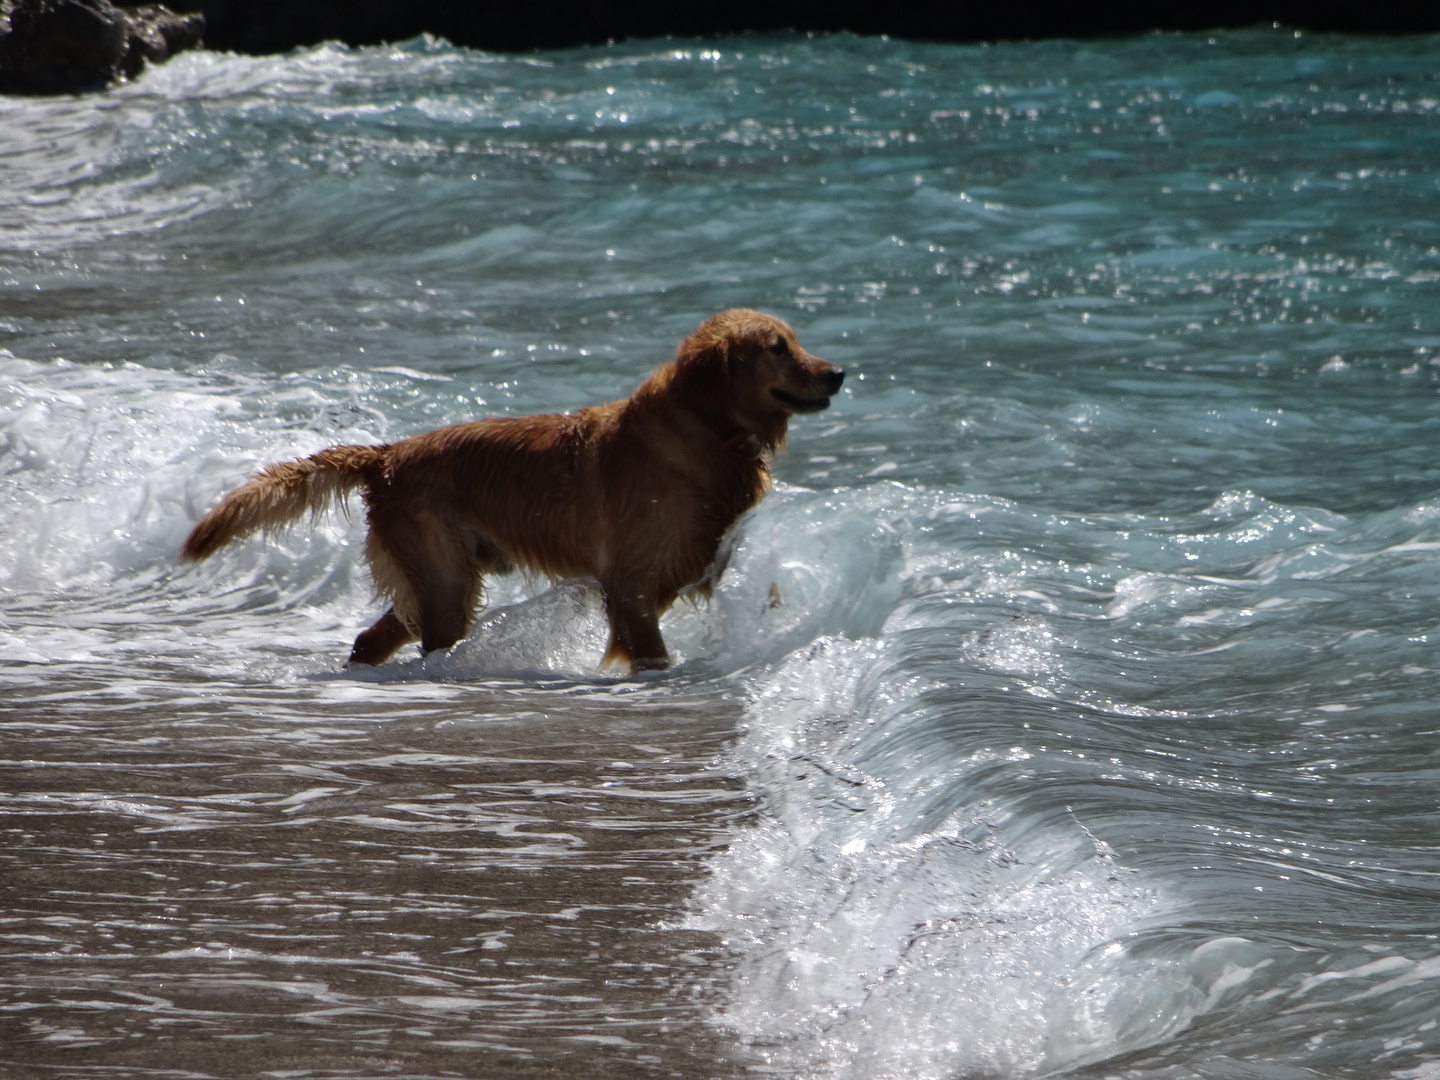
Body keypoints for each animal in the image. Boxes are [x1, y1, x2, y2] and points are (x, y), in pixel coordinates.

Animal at [180, 308, 840, 673]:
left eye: (796, 340)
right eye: (777, 348)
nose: (839, 372)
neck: (706, 433)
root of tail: (388, 454)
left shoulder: (712, 555)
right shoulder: (632, 585)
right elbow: (650, 650)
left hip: (439, 579)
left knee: (373, 637)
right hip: (446, 584)